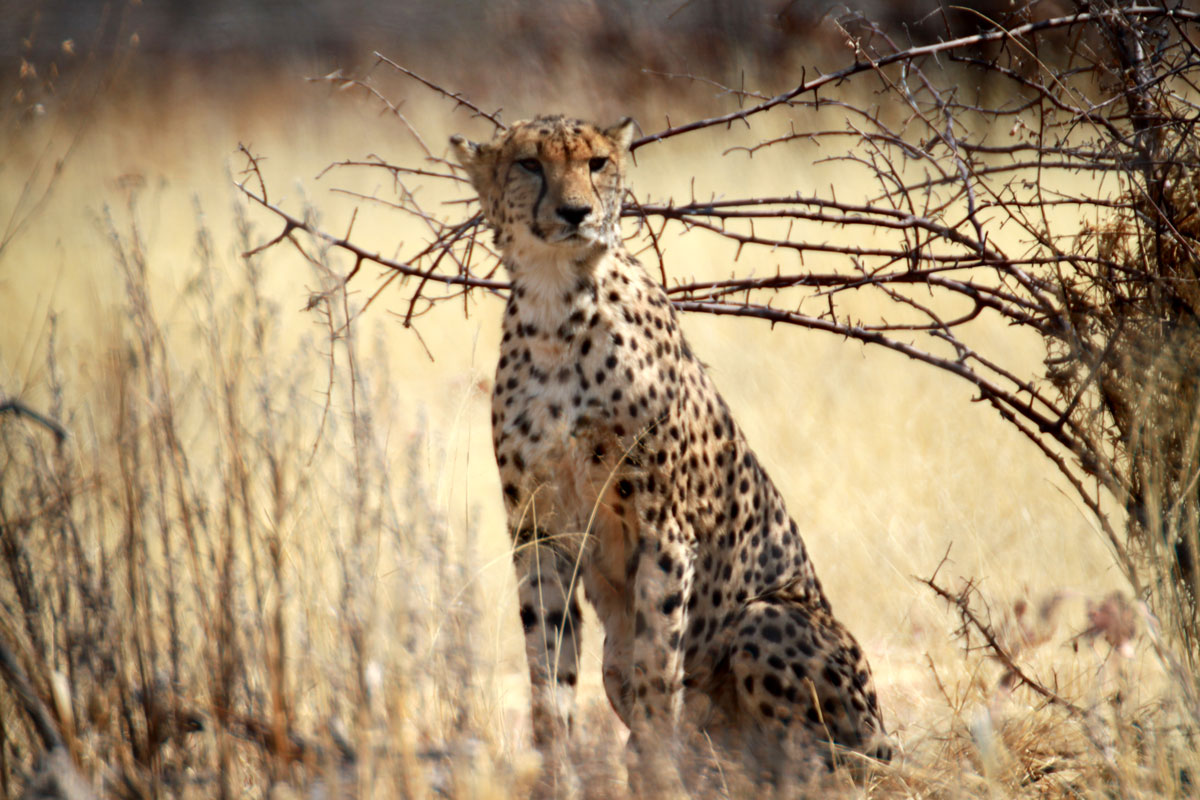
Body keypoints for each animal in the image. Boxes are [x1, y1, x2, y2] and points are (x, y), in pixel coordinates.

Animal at [450, 114, 891, 794]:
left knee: (822, 766)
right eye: (528, 164)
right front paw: (557, 776)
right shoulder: (538, 532)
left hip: (770, 621)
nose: (576, 212)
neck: (557, 303)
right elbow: (548, 675)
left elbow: (659, 672)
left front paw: (659, 774)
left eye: (598, 162)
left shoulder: (663, 527)